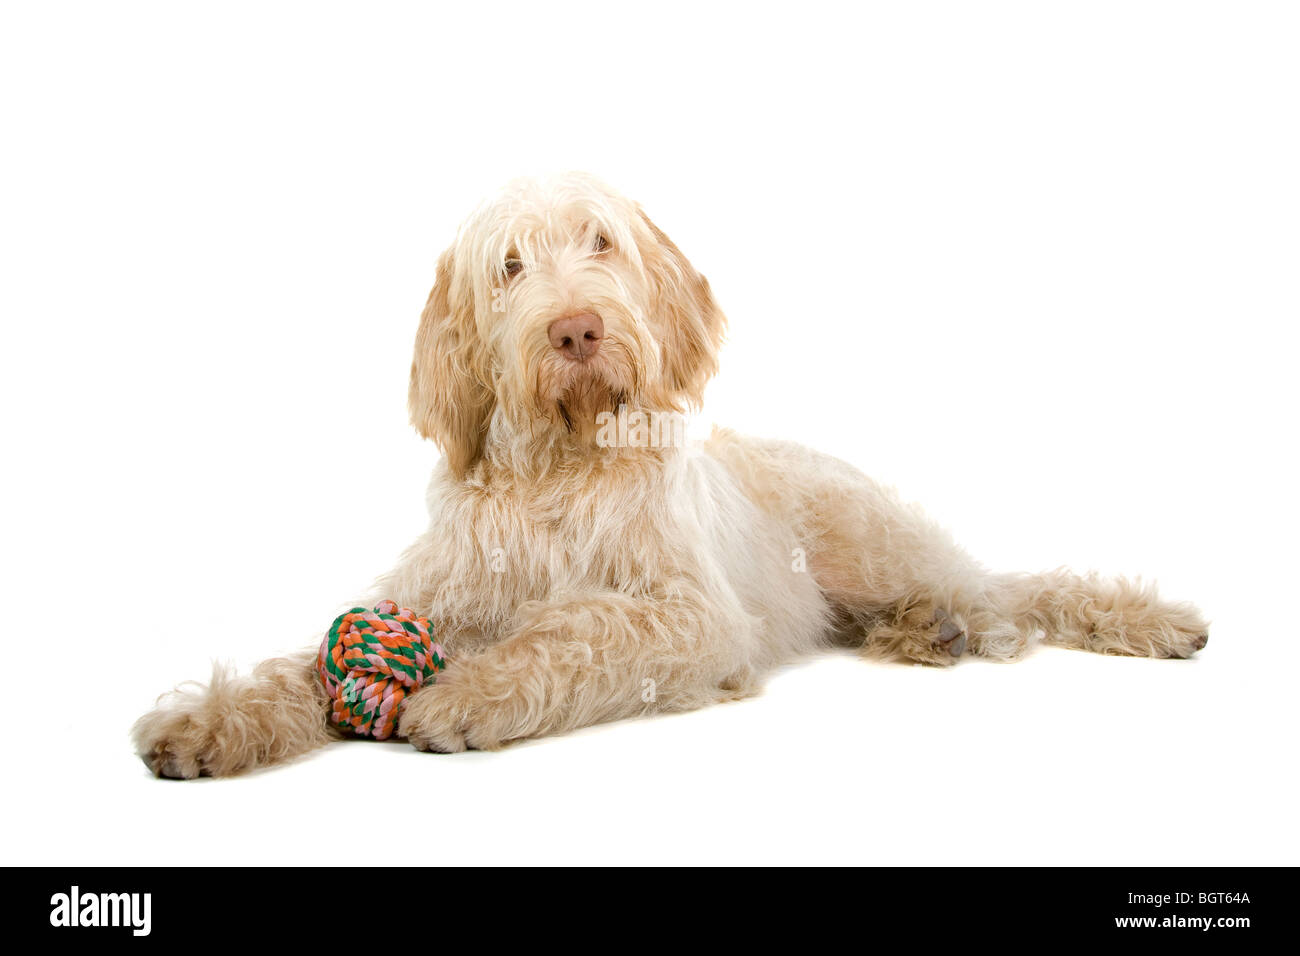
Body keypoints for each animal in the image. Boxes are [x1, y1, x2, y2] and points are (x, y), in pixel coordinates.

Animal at [131, 174, 1206, 780]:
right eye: (509, 266)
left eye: (599, 241)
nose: (576, 331)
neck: (562, 466)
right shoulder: (435, 596)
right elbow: (303, 664)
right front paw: (212, 719)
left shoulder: (691, 614)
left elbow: (581, 626)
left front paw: (474, 692)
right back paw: (918, 634)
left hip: (874, 545)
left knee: (1011, 597)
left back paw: (983, 622)